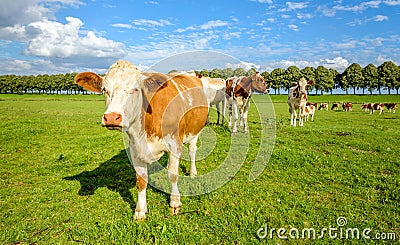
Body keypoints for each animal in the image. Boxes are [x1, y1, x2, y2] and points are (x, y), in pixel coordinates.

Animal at [74, 59, 209, 220]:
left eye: (135, 89)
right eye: (104, 89)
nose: (112, 117)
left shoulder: (175, 143)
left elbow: (173, 174)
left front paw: (175, 202)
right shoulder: (135, 148)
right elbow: (141, 180)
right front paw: (140, 211)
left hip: (196, 131)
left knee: (192, 151)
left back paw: (193, 172)